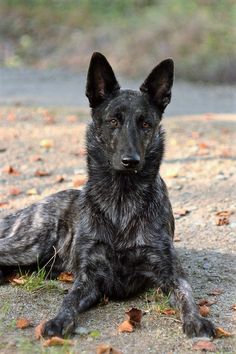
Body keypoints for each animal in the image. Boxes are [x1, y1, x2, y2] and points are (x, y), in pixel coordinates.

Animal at [0, 51, 216, 338]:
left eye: (146, 124)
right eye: (113, 121)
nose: (130, 161)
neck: (121, 199)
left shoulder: (170, 272)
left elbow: (187, 296)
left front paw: (196, 320)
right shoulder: (88, 277)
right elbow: (69, 299)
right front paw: (58, 320)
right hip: (27, 245)